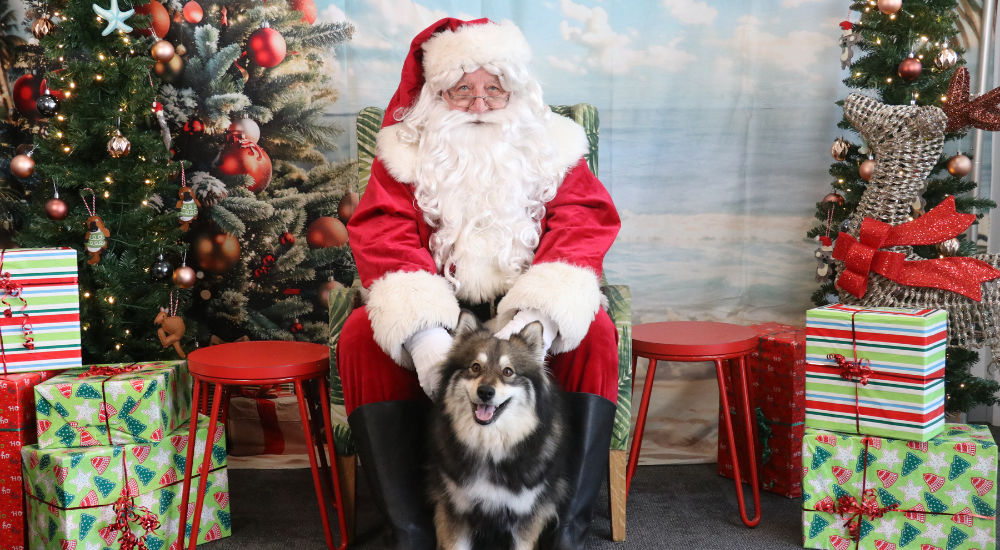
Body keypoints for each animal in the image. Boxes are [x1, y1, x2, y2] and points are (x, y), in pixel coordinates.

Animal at [430, 310, 572, 550]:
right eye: (475, 367)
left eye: (508, 372)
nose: (485, 392)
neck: (489, 445)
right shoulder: (455, 508)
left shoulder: (526, 515)